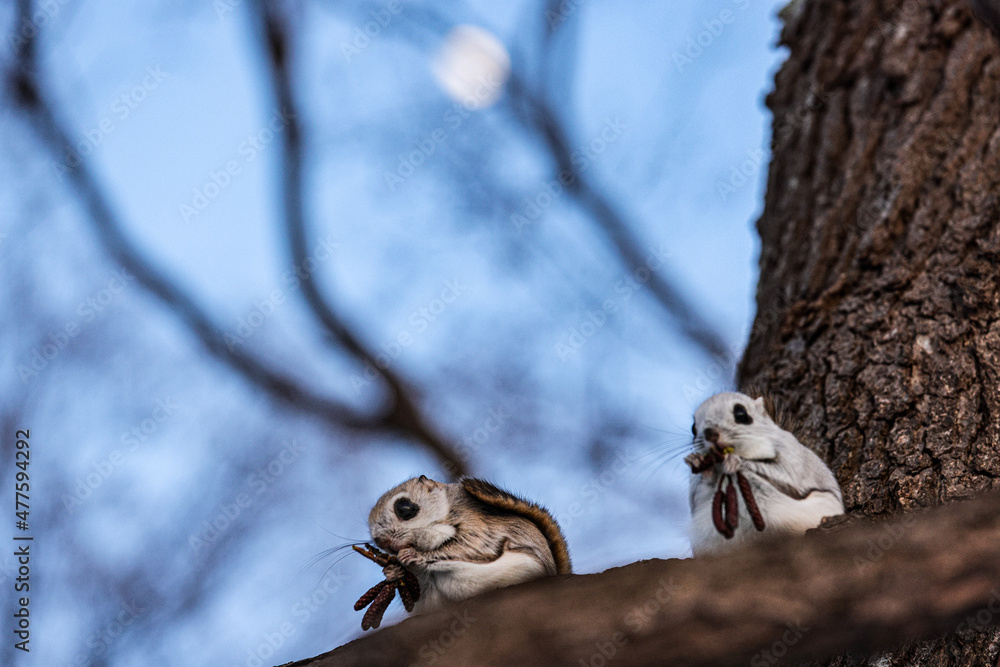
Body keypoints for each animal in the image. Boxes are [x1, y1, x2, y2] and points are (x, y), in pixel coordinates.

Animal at [367, 475, 572, 612]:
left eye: (404, 508)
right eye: (375, 540)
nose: (382, 542)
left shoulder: (480, 527)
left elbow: (469, 546)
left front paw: (416, 555)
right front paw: (392, 571)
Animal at [684, 392, 844, 556]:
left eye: (741, 414)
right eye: (693, 428)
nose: (710, 433)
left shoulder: (792, 453)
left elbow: (788, 473)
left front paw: (734, 461)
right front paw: (698, 463)